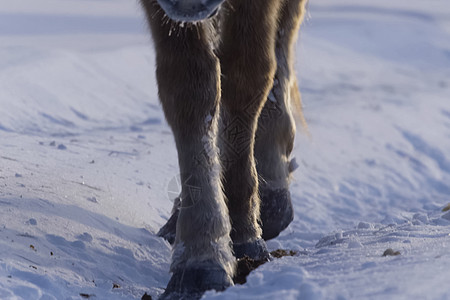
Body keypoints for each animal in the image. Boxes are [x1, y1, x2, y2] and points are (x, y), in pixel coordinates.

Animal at [141, 0, 308, 298]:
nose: (189, 5)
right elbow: (190, 86)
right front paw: (201, 257)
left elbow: (247, 75)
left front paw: (243, 234)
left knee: (284, 33)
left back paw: (271, 191)